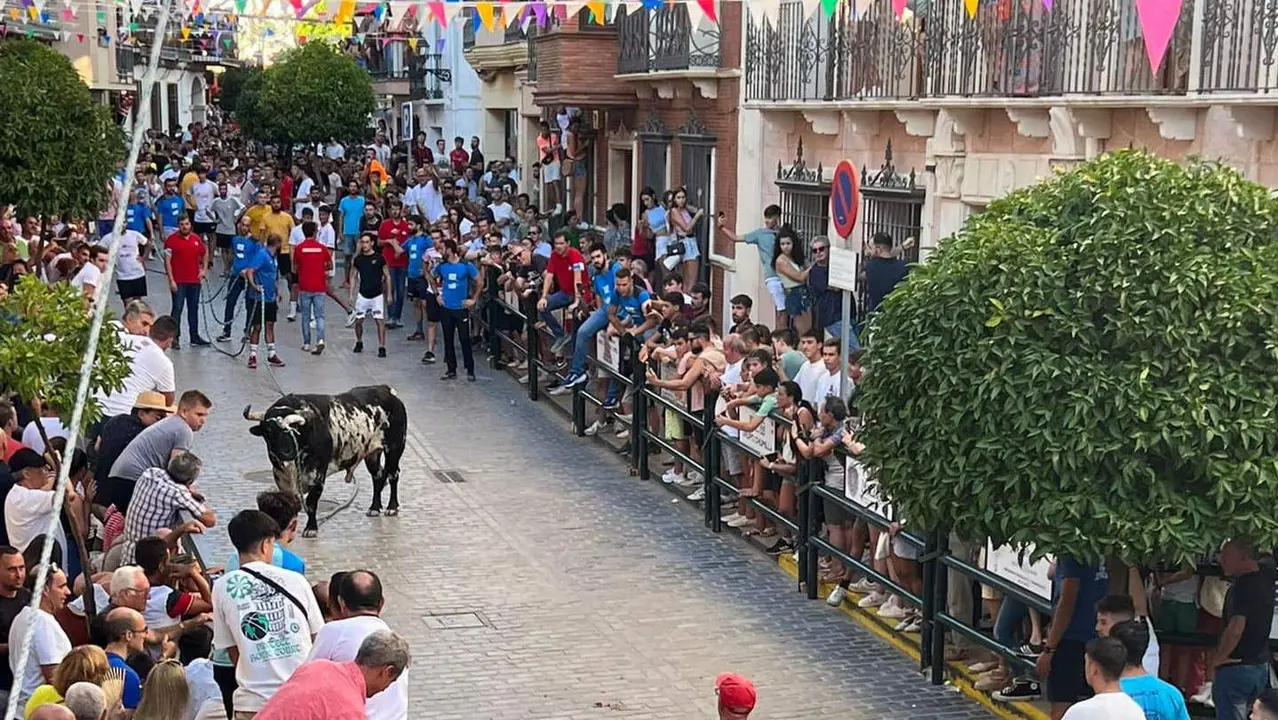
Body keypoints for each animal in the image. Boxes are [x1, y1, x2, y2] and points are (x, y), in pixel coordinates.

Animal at [241, 386, 406, 537]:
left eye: (295, 427)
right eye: (269, 430)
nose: (285, 453)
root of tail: (386, 390)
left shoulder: (318, 475)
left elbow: (311, 503)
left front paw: (311, 528)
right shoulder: (280, 477)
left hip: (395, 448)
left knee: (393, 475)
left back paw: (392, 507)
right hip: (372, 454)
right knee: (378, 476)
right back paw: (375, 508)